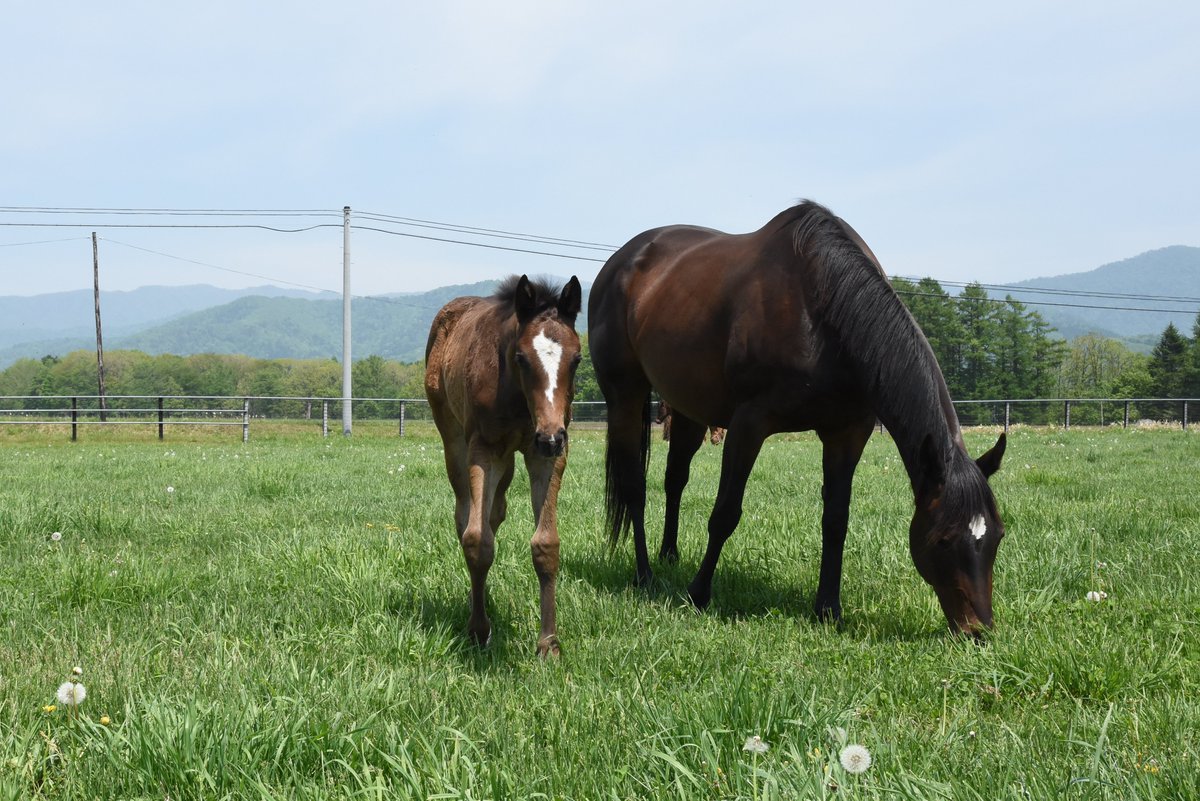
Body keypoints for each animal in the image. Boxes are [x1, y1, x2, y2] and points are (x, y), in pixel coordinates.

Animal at [425, 274, 583, 656]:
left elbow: (546, 544)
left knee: (495, 512)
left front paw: (548, 644)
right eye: (521, 358)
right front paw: (479, 630)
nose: (551, 437)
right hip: (453, 438)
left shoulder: (544, 455)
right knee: (465, 515)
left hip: (511, 456)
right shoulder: (484, 450)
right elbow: (477, 539)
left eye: (577, 359)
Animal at [587, 202, 1006, 635]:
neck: (823, 312)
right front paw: (698, 594)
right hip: (625, 395)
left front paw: (828, 608)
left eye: (997, 536)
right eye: (942, 539)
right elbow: (725, 513)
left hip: (688, 407)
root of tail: (622, 261)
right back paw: (645, 575)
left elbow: (836, 520)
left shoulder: (847, 432)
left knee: (675, 480)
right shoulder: (749, 424)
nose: (978, 630)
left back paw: (668, 553)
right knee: (634, 486)